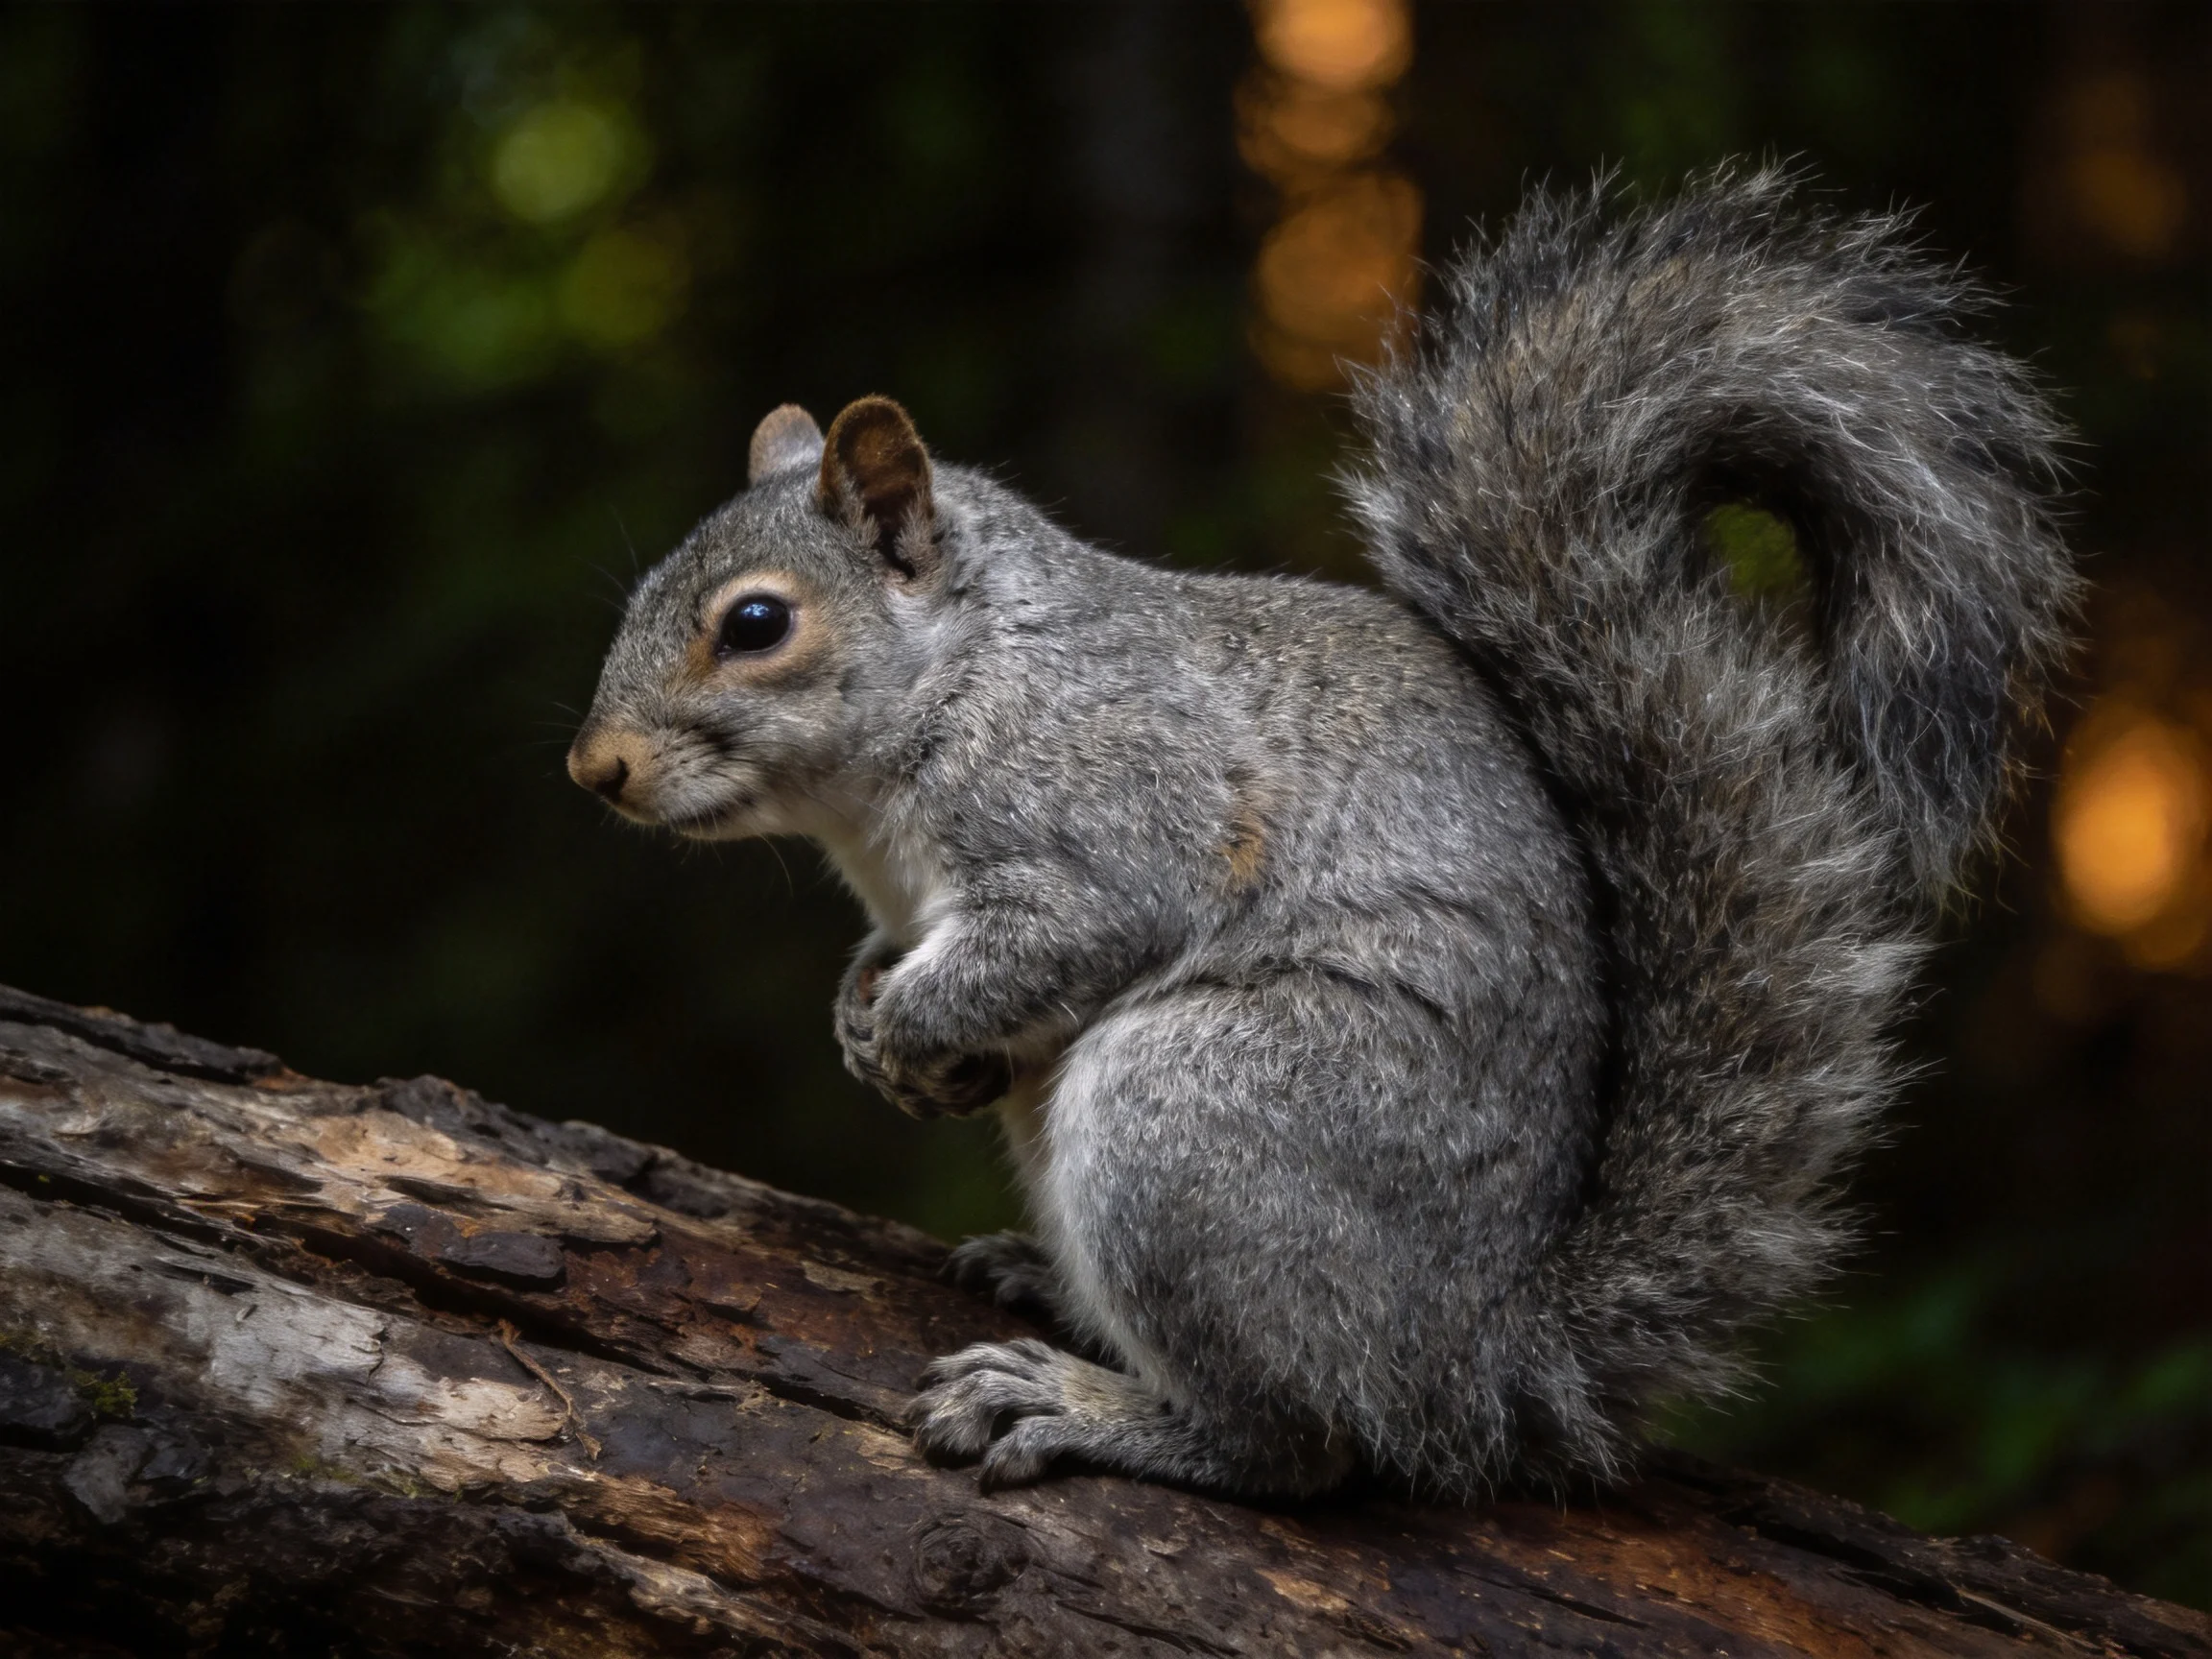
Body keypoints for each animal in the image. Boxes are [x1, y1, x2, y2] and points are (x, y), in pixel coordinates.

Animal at [567, 170, 2077, 1499]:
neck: (954, 691)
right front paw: (863, 1017)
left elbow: (1071, 930)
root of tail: (1473, 1359)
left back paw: (1092, 1406)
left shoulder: (1120, 801)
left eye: (757, 624)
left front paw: (907, 1025)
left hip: (1197, 1116)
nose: (595, 769)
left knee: (1299, 1444)